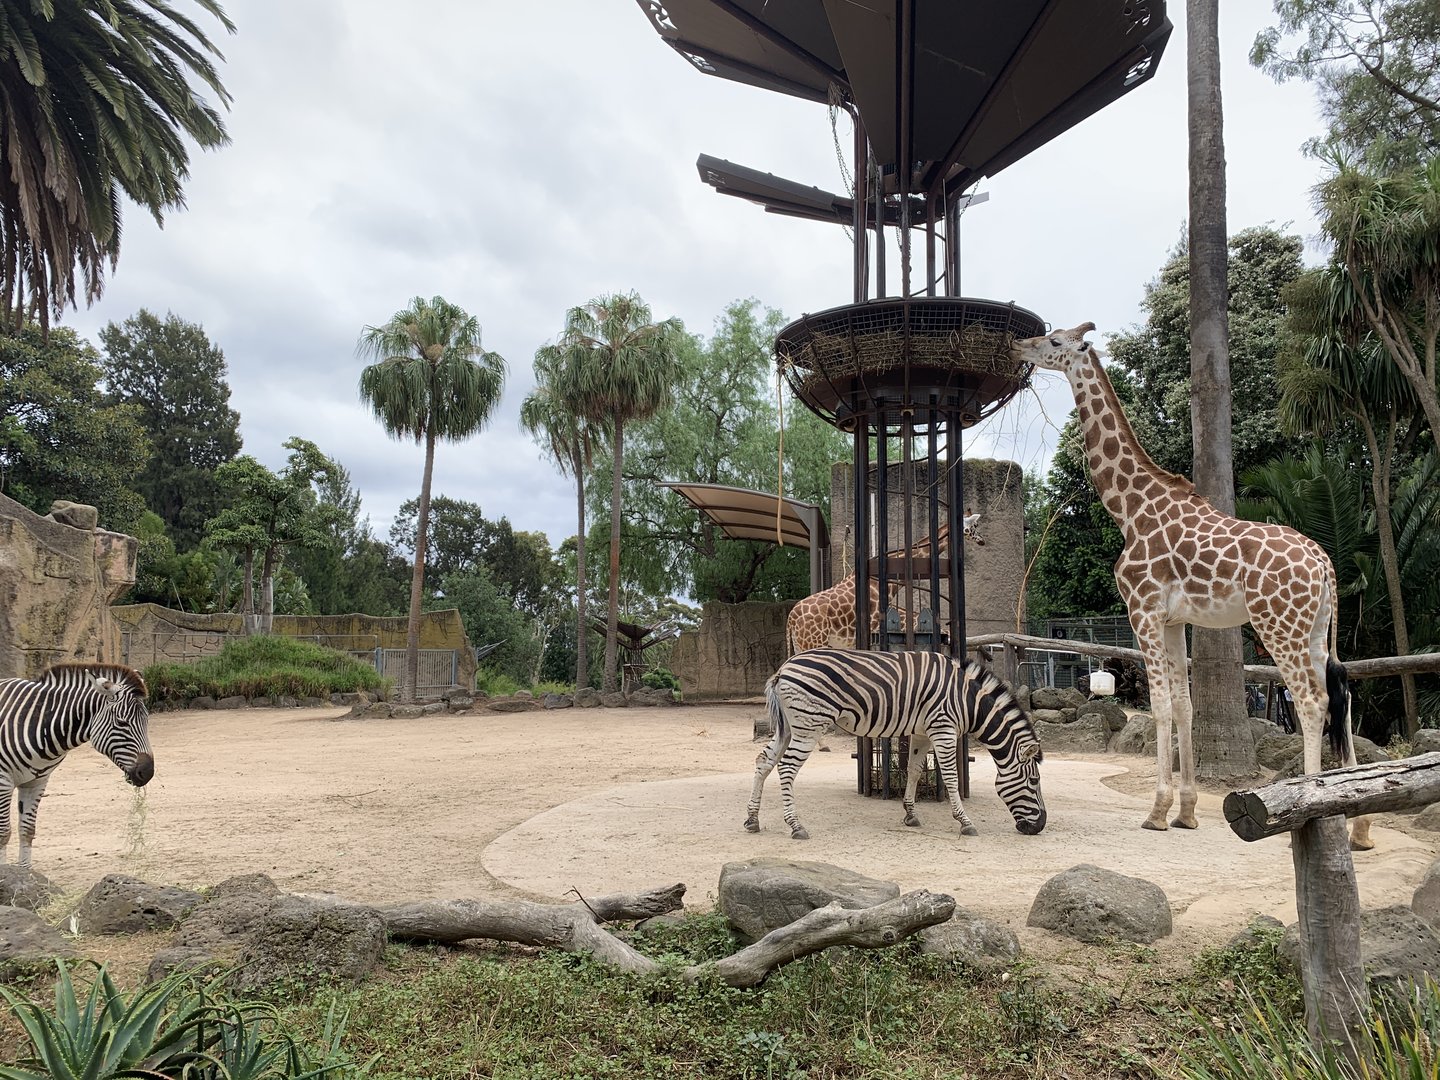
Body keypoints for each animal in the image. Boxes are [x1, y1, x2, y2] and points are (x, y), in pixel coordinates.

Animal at [0, 663, 155, 867]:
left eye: (147, 720)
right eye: (122, 722)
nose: (148, 772)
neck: (40, 722)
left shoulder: (37, 782)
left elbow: (27, 831)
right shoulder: (3, 781)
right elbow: (3, 833)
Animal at [746, 649, 1045, 840]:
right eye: (1034, 781)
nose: (1040, 826)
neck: (968, 700)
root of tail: (783, 669)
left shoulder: (923, 733)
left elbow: (914, 770)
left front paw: (911, 814)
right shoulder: (944, 729)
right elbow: (950, 777)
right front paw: (965, 822)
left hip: (788, 726)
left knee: (763, 761)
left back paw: (752, 820)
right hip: (809, 724)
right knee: (786, 769)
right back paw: (796, 826)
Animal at [1011, 323, 1371, 850]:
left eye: (1055, 342)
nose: (1019, 345)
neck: (1129, 511)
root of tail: (1325, 564)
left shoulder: (1142, 609)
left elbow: (1160, 704)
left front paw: (1157, 812)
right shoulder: (1176, 619)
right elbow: (1184, 705)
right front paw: (1186, 812)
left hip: (1277, 624)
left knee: (1312, 701)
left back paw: (1309, 814)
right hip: (1315, 628)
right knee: (1340, 696)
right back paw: (1358, 821)